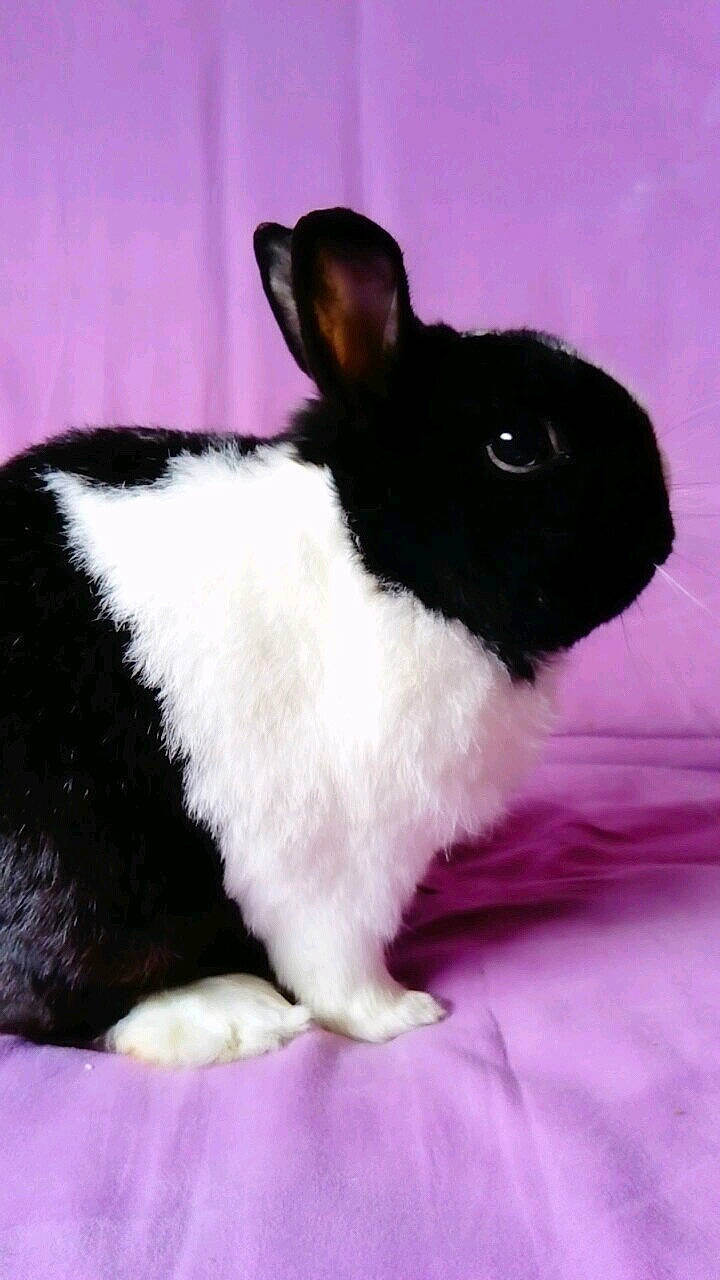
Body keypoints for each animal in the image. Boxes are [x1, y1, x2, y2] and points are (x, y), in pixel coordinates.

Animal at [0, 208, 673, 1066]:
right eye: (518, 445)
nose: (663, 533)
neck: (373, 561)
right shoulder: (331, 859)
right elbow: (337, 964)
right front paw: (403, 1014)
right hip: (82, 863)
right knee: (66, 999)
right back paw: (228, 1014)